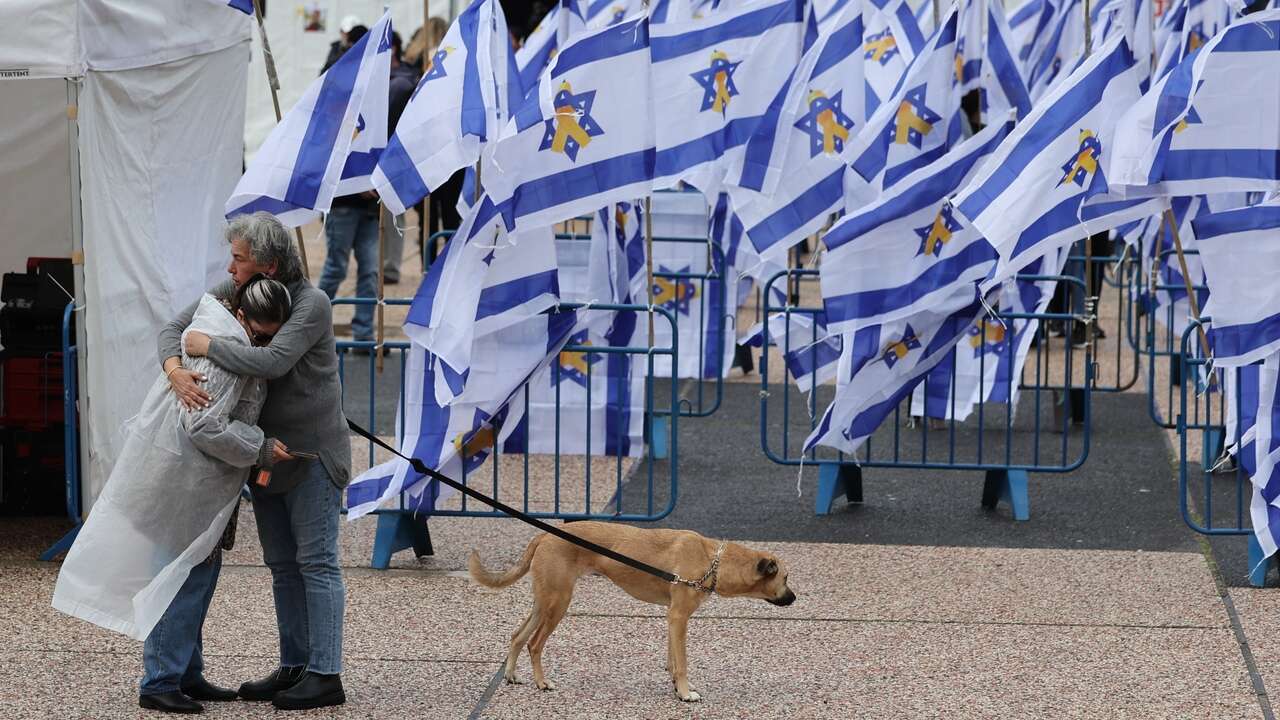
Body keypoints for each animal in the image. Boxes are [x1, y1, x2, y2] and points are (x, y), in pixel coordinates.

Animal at [465, 517, 793, 696]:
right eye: (786, 577)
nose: (794, 599)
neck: (713, 560)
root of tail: (544, 534)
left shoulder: (672, 618)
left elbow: (672, 659)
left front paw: (676, 688)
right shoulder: (679, 617)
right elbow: (683, 662)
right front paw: (686, 693)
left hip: (543, 602)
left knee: (517, 636)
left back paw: (511, 675)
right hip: (558, 604)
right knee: (534, 644)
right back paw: (542, 683)